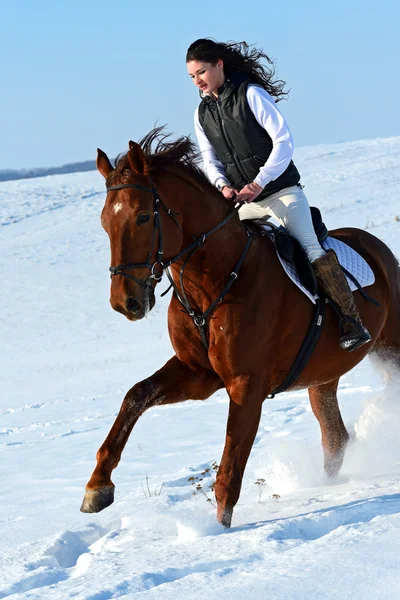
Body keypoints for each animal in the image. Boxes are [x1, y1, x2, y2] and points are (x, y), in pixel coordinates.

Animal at [80, 130, 400, 524]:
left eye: (142, 217)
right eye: (104, 222)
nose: (125, 302)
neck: (216, 281)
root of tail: (377, 247)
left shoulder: (246, 385)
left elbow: (231, 467)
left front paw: (219, 530)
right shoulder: (198, 374)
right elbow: (136, 396)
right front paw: (97, 486)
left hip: (391, 346)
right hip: (323, 376)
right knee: (335, 437)